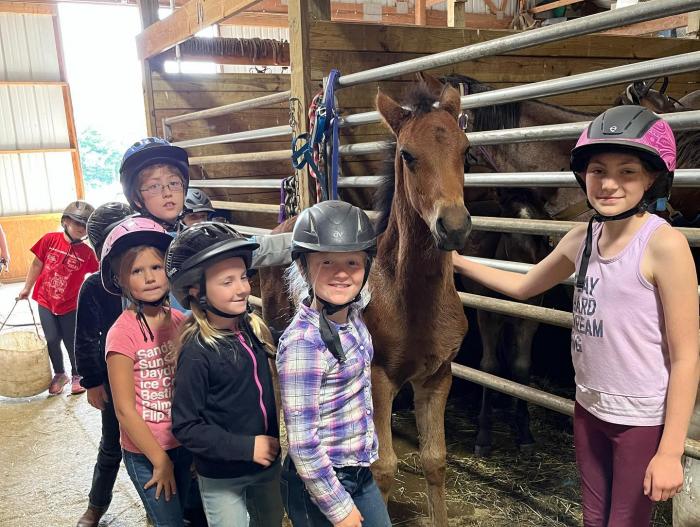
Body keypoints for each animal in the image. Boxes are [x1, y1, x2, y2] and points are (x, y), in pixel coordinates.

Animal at [260, 75, 474, 527]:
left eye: (466, 150)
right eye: (407, 155)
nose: (454, 226)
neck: (410, 298)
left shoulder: (438, 376)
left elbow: (435, 460)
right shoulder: (378, 378)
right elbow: (384, 468)